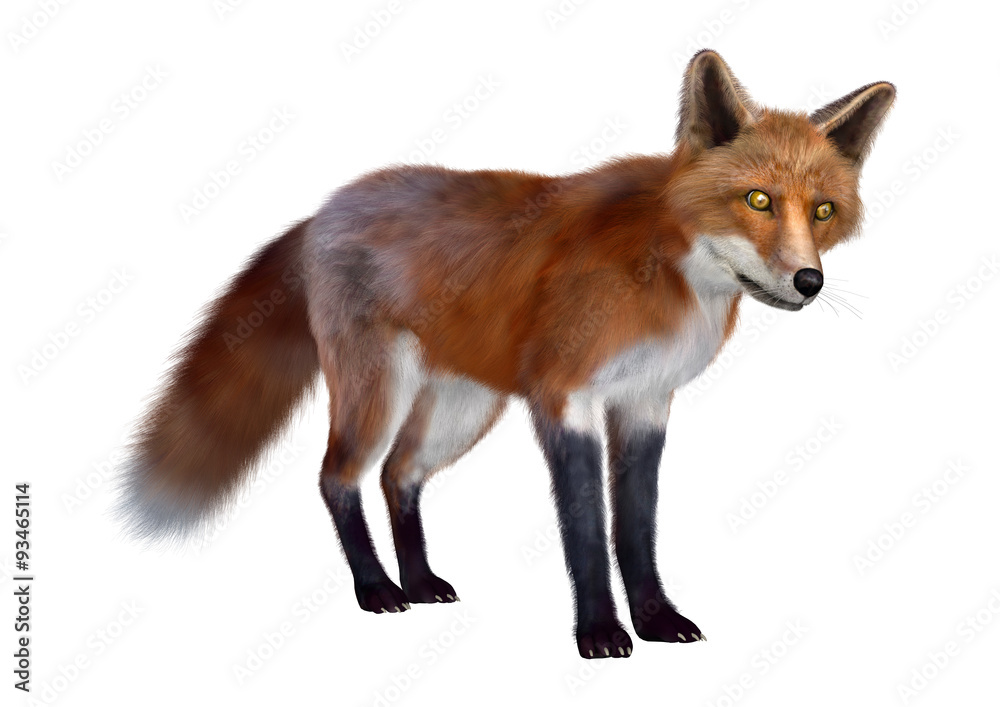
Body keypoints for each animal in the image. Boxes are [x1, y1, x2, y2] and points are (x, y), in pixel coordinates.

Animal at [116, 50, 895, 659]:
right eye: (758, 200)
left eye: (822, 211)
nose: (809, 282)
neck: (665, 277)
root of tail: (324, 209)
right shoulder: (565, 397)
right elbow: (586, 527)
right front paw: (599, 634)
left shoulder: (645, 402)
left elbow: (636, 526)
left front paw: (656, 620)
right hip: (380, 396)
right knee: (337, 478)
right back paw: (376, 589)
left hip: (462, 413)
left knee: (398, 476)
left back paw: (419, 583)